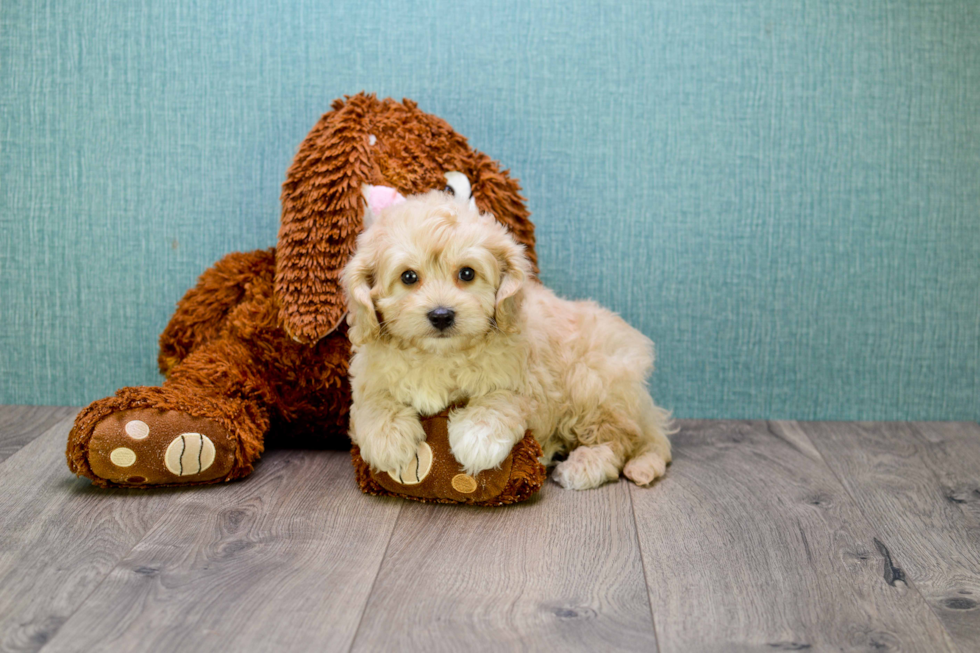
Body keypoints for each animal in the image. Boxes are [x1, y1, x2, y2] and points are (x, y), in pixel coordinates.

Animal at [344, 191, 672, 486]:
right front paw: (389, 441)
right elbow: (373, 403)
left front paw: (478, 439)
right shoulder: (368, 376)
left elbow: (501, 398)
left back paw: (584, 465)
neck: (439, 355)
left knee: (620, 438)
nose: (441, 315)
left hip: (592, 382)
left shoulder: (531, 382)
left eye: (467, 273)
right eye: (408, 277)